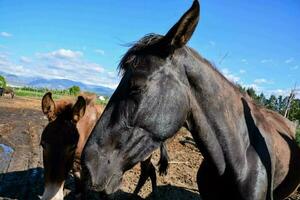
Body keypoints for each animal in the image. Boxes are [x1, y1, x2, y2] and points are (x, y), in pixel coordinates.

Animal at [40, 93, 169, 199]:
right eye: (43, 145)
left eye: (72, 147)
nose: (51, 197)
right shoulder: (76, 164)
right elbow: (79, 186)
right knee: (151, 171)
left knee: (145, 173)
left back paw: (134, 195)